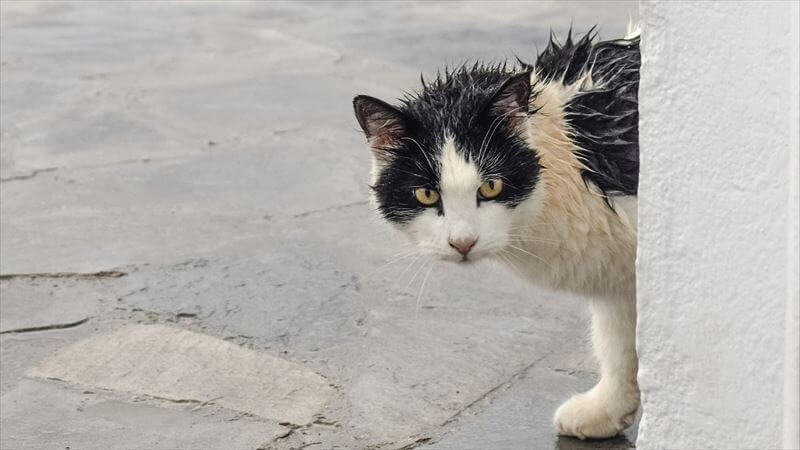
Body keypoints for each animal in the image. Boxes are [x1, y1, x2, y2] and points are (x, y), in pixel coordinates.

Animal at [354, 25, 640, 440]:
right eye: (427, 194)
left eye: (490, 187)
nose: (463, 243)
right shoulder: (618, 278)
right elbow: (618, 346)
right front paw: (607, 409)